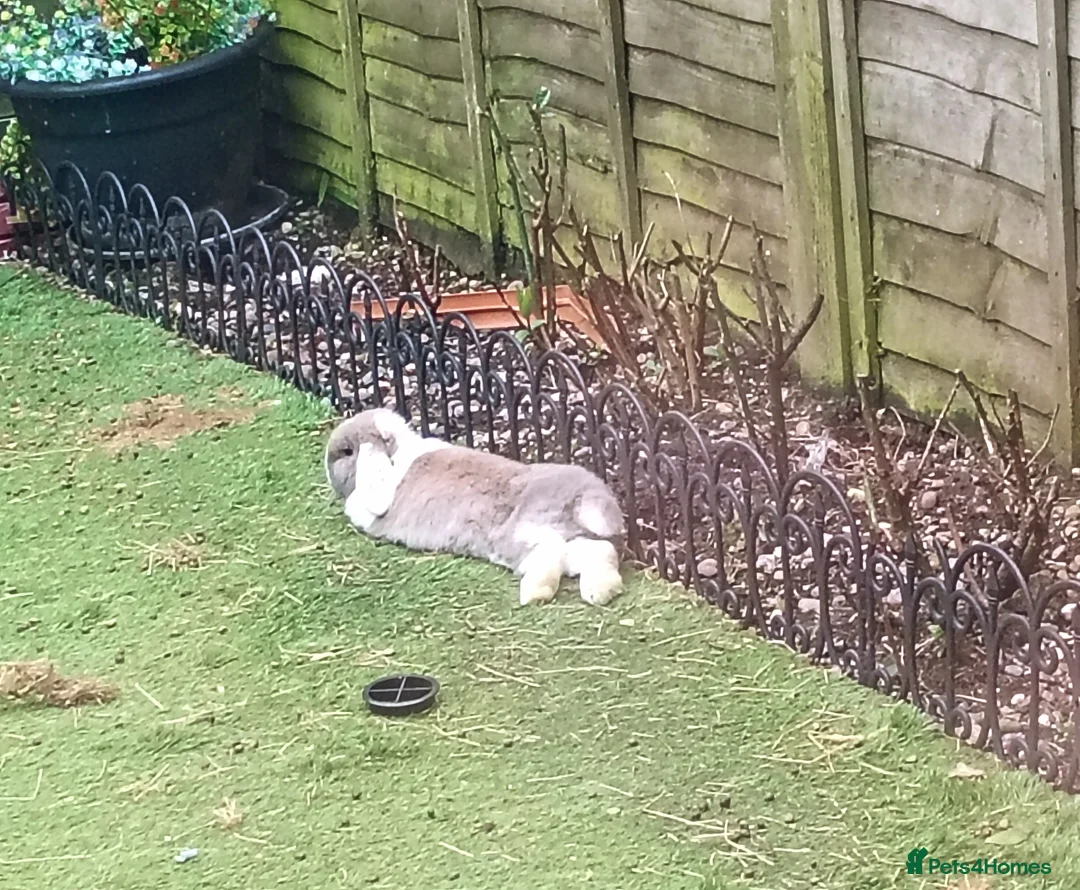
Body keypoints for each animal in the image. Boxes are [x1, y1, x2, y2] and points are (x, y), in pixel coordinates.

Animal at [324, 408, 625, 607]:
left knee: (550, 552)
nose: (327, 471)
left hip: (518, 533)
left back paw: (535, 593)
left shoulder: (379, 492)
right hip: (562, 538)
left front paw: (369, 452)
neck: (398, 452)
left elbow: (374, 474)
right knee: (596, 550)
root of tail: (582, 497)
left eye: (346, 451)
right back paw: (601, 591)